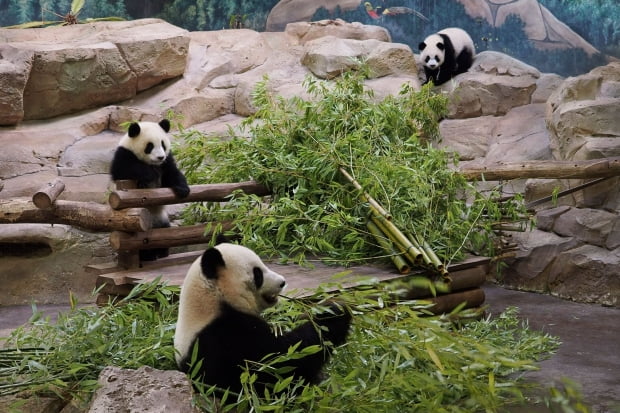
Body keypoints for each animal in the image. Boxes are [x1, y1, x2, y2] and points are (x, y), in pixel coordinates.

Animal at [109, 119, 190, 260]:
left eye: (163, 144)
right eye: (150, 146)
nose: (160, 157)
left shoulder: (167, 161)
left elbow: (172, 173)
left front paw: (183, 189)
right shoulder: (124, 154)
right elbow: (123, 169)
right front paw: (148, 176)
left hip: (162, 220)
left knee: (164, 234)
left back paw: (161, 253)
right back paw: (148, 256)